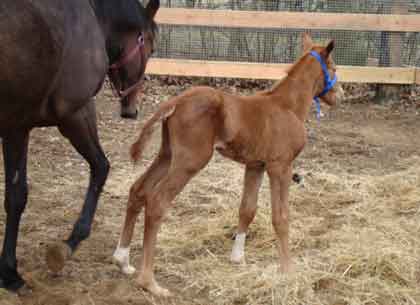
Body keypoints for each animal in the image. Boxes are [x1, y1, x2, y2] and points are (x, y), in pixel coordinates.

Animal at [114, 33, 342, 296]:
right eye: (334, 68)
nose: (340, 95)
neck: (288, 107)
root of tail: (177, 101)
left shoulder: (255, 165)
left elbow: (247, 209)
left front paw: (237, 258)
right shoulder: (280, 167)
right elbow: (281, 217)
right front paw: (288, 270)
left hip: (168, 155)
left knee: (138, 190)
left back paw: (122, 260)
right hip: (191, 161)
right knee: (157, 202)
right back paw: (149, 282)